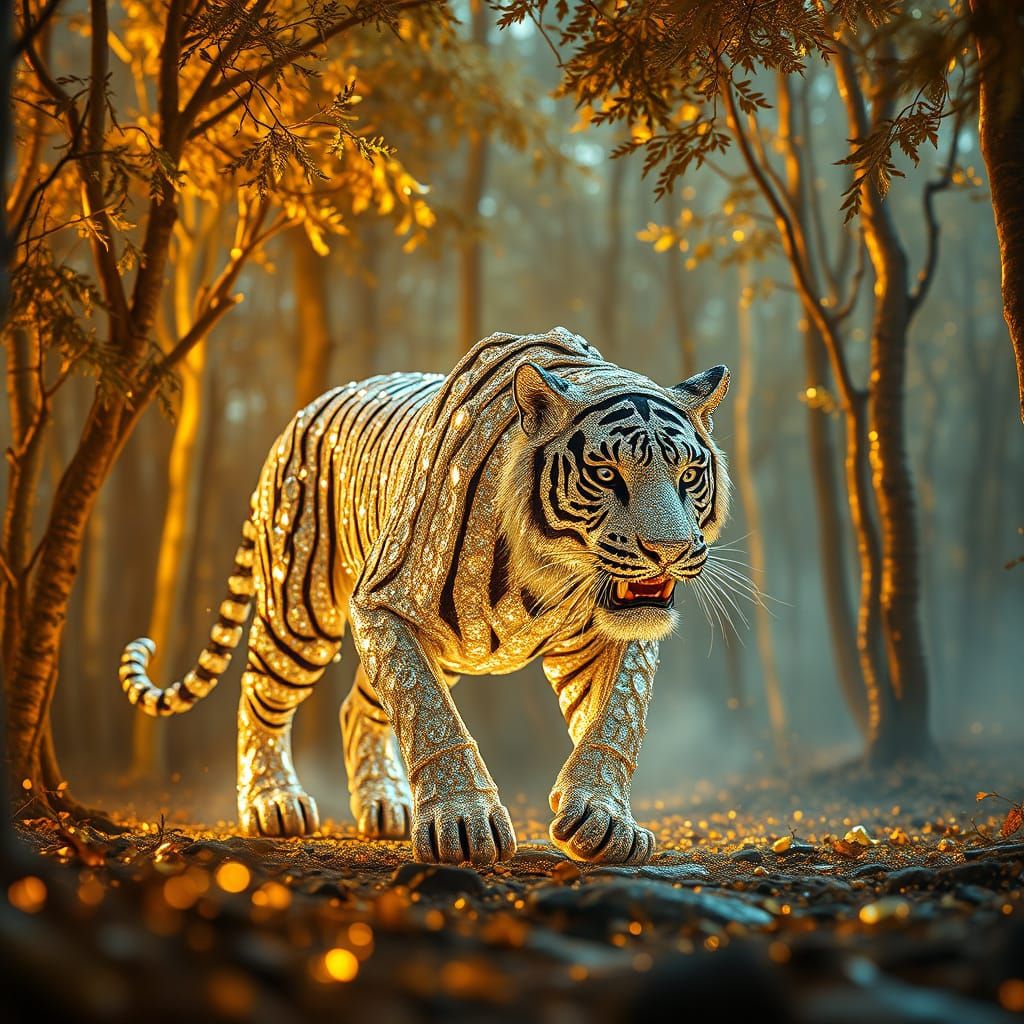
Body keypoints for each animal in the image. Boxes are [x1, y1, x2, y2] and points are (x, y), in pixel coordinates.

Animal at [119, 327, 731, 866]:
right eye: (605, 473)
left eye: (689, 474)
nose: (669, 549)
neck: (551, 575)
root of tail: (300, 415)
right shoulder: (381, 600)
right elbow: (428, 710)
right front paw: (463, 823)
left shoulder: (609, 638)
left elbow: (614, 718)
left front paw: (605, 820)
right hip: (301, 614)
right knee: (259, 695)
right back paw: (273, 803)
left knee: (357, 706)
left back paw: (386, 806)